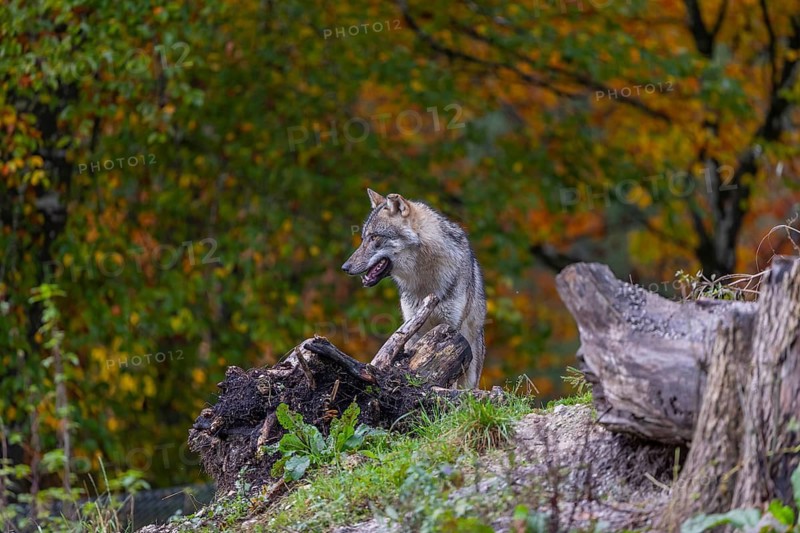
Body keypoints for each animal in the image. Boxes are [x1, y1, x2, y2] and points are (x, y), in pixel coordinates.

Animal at [341, 189, 487, 388]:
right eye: (363, 238)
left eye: (374, 237)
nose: (345, 267)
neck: (424, 282)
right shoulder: (412, 327)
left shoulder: (451, 329)